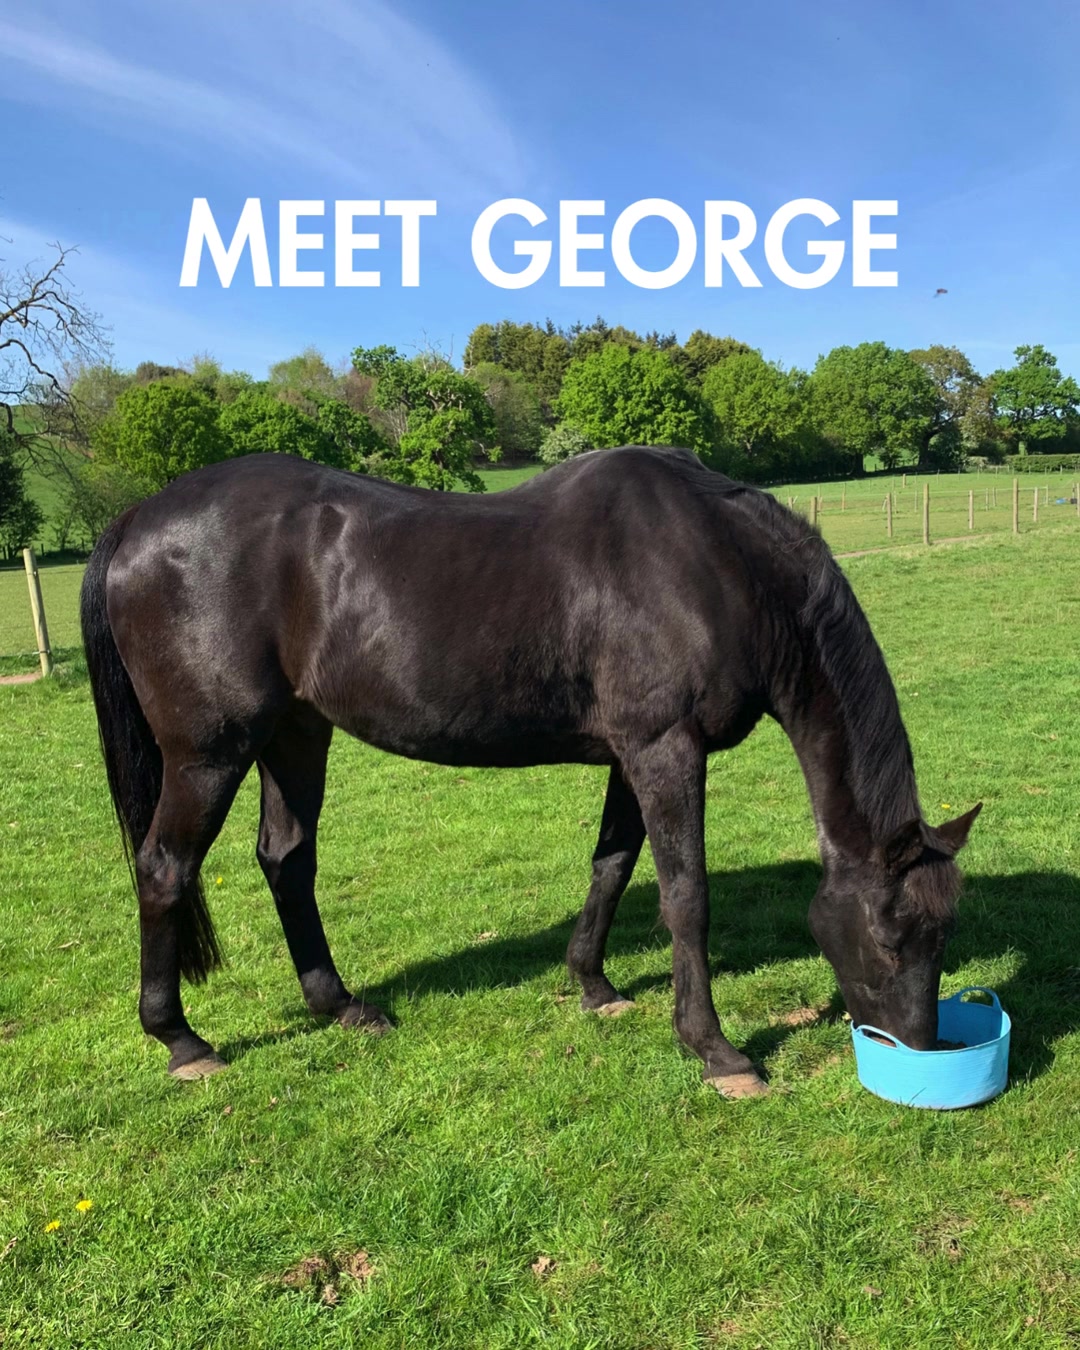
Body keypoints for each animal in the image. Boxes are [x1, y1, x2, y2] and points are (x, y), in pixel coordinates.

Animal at [80, 446, 980, 1098]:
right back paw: (182, 1040)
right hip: (209, 752)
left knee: (286, 860)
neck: (718, 564)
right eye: (894, 934)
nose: (917, 1049)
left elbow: (613, 865)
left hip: (295, 734)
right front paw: (716, 1050)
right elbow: (686, 895)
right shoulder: (666, 749)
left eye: (946, 932)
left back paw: (342, 1007)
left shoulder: (631, 754)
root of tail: (135, 522)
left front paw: (594, 986)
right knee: (164, 868)